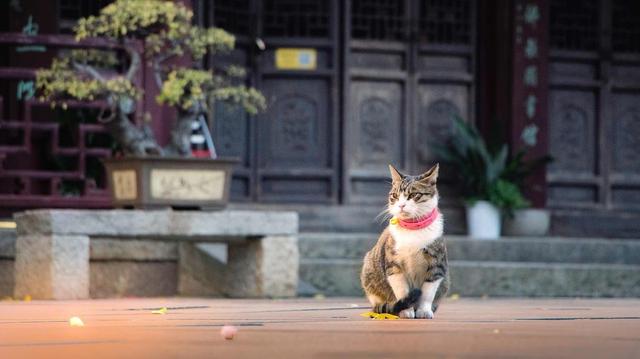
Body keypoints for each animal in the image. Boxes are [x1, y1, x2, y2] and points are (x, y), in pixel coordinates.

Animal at [360, 165, 450, 320]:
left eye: (414, 195)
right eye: (395, 196)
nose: (401, 205)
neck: (412, 229)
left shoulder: (437, 264)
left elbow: (428, 292)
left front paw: (424, 310)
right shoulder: (393, 264)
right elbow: (401, 289)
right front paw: (406, 311)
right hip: (369, 268)